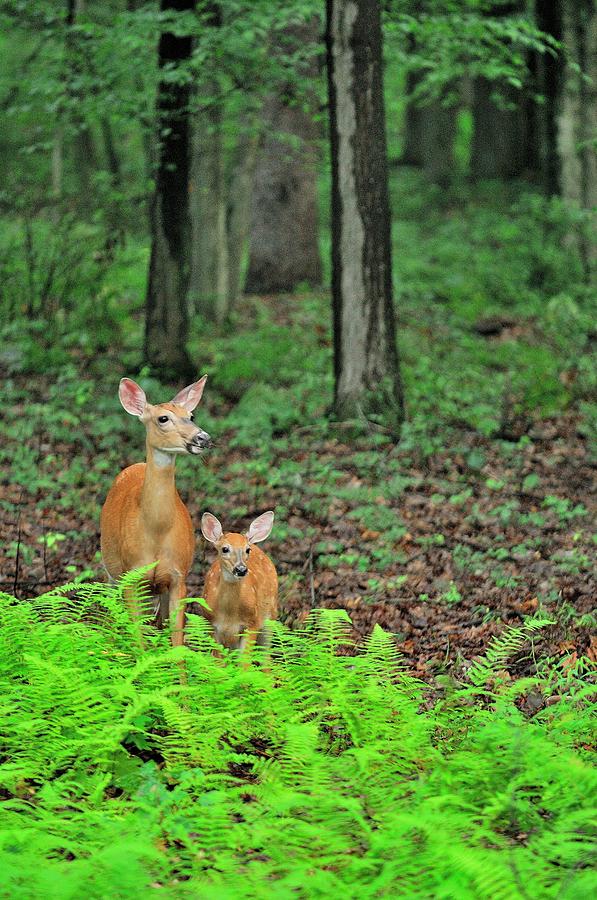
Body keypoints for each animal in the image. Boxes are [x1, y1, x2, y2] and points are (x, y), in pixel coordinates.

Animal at [102, 376, 212, 644]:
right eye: (163, 418)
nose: (203, 438)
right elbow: (138, 638)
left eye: (191, 415)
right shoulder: (132, 576)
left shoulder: (178, 576)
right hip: (110, 570)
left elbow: (176, 639)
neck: (156, 531)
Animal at [199, 512, 276, 652]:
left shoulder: (252, 622)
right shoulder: (210, 623)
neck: (229, 616)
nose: (241, 569)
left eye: (247, 550)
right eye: (224, 549)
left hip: (271, 613)